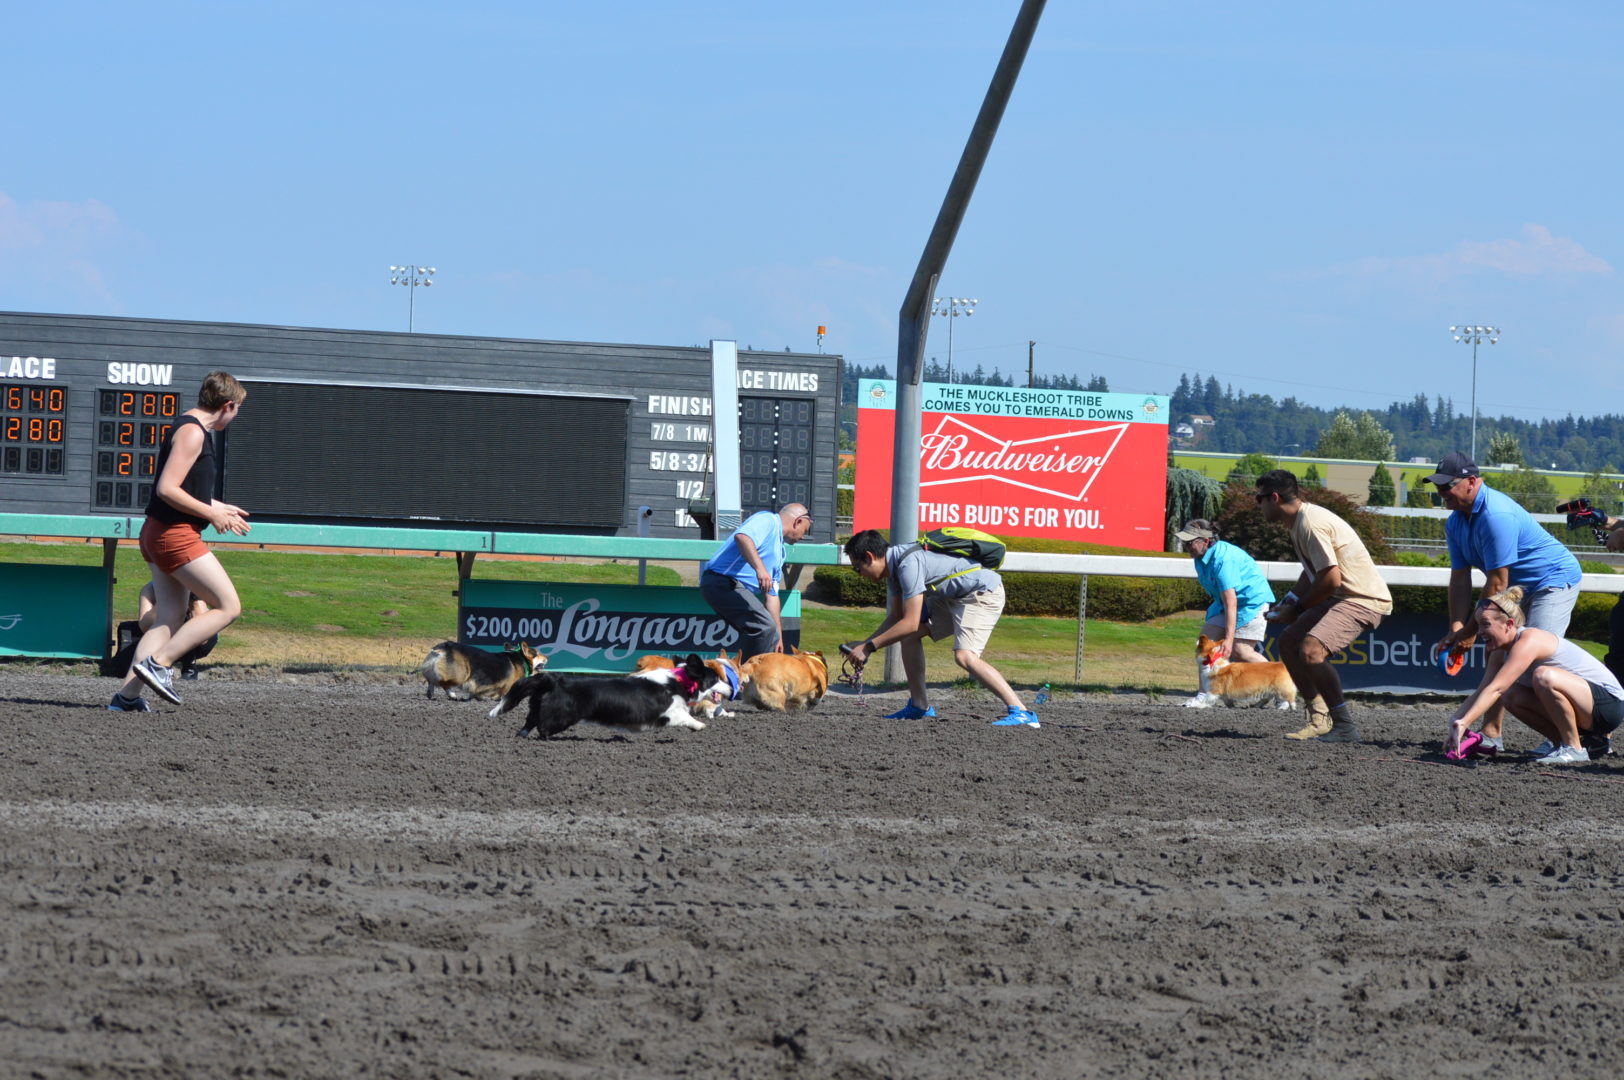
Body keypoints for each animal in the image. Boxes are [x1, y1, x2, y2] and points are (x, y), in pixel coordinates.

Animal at [488, 653, 720, 738]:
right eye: (714, 678)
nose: (727, 685)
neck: (679, 681)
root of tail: (552, 679)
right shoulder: (669, 712)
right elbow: (685, 716)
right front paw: (700, 725)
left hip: (536, 708)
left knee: (528, 724)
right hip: (560, 717)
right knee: (543, 728)